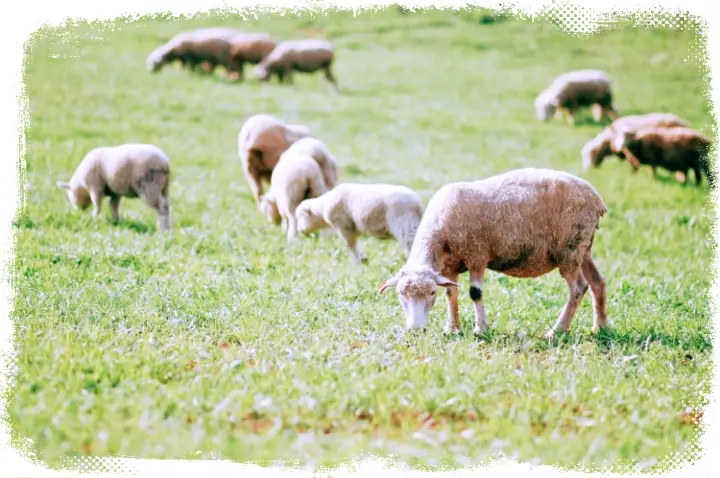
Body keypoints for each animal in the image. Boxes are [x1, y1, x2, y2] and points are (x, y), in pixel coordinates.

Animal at [294, 184, 424, 266]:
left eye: (300, 216)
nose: (301, 231)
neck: (323, 207)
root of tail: (417, 203)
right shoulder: (353, 227)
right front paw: (363, 258)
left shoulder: (344, 225)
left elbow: (350, 245)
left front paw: (357, 262)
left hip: (404, 223)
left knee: (410, 241)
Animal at [376, 167, 608, 336]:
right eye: (401, 294)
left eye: (431, 293)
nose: (416, 329)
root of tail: (597, 199)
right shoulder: (449, 266)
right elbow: (451, 293)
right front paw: (452, 328)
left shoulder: (477, 255)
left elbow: (475, 293)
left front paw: (481, 330)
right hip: (583, 248)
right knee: (598, 282)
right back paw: (600, 327)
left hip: (569, 249)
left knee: (578, 288)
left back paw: (556, 331)